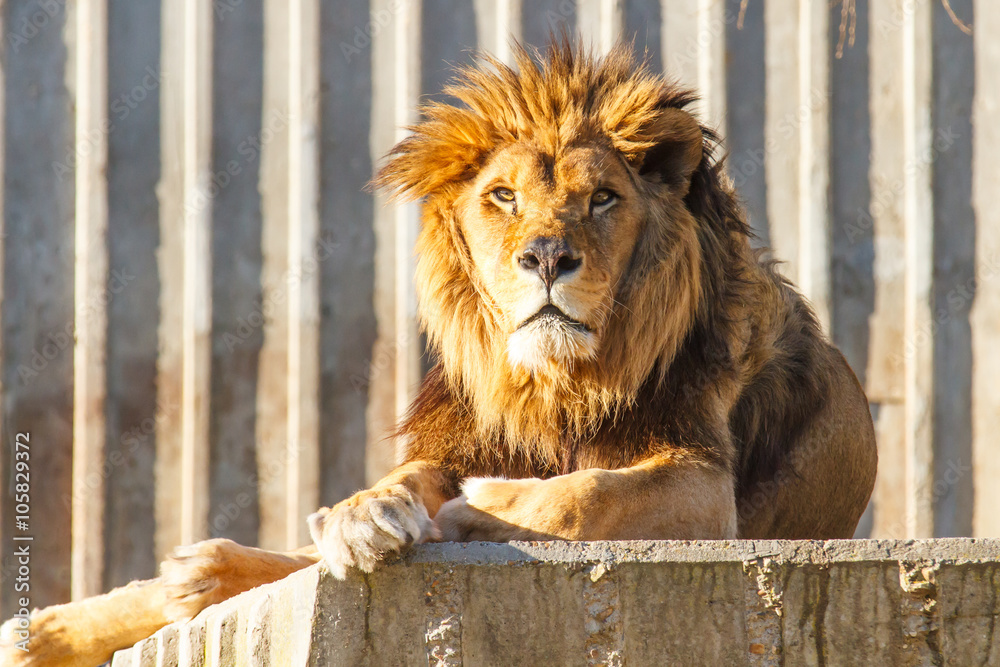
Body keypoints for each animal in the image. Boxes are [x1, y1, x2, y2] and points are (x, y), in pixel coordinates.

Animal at [1, 40, 876, 666]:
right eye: (503, 197)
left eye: (603, 199)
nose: (548, 257)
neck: (553, 383)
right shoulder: (462, 436)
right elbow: (413, 478)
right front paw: (369, 509)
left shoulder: (705, 483)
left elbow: (587, 493)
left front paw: (474, 510)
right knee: (251, 571)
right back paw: (74, 619)